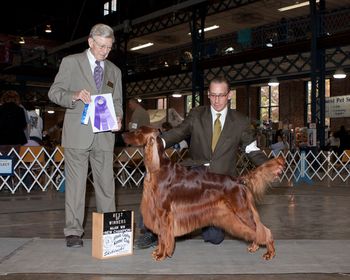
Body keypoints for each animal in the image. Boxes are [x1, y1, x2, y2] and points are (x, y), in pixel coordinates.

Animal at [123, 126, 284, 262]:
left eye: (137, 132)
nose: (123, 135)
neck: (158, 168)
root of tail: (238, 180)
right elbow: (160, 236)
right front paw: (159, 251)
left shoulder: (164, 212)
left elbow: (163, 236)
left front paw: (162, 254)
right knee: (257, 230)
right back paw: (255, 246)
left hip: (242, 211)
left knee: (264, 230)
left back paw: (269, 252)